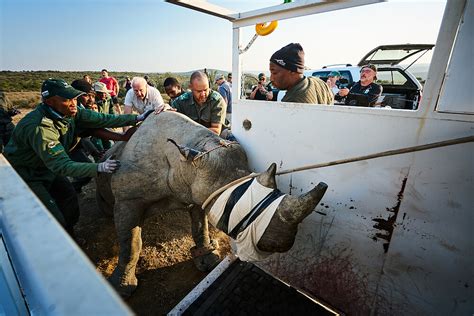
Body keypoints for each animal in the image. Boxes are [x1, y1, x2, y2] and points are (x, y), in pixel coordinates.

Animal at [96, 111, 326, 296]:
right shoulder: (128, 200)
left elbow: (200, 227)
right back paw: (105, 211)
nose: (283, 245)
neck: (183, 162)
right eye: (234, 203)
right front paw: (122, 288)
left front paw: (208, 260)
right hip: (107, 164)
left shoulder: (197, 192)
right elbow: (131, 243)